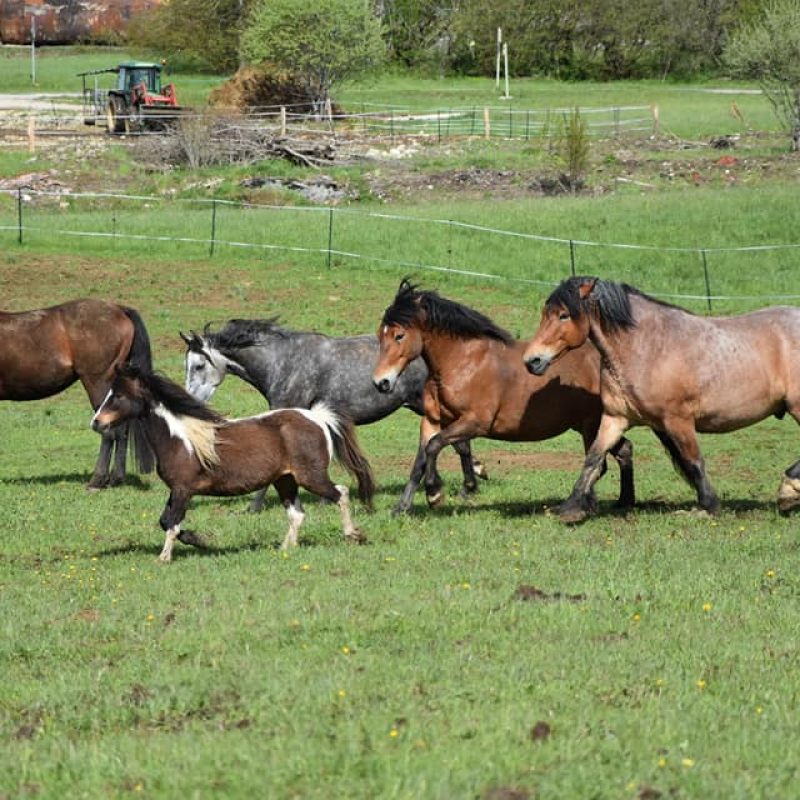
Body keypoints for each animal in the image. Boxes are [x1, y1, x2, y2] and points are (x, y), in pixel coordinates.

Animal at [0, 298, 155, 488]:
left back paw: (97, 480)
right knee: (120, 430)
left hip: (99, 386)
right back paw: (115, 479)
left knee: (108, 432)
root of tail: (119, 309)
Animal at [89, 364, 376, 560]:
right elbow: (166, 521)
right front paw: (200, 540)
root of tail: (318, 418)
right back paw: (284, 548)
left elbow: (171, 524)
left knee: (341, 493)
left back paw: (353, 534)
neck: (180, 438)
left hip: (311, 477)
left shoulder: (183, 490)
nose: (96, 423)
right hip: (285, 480)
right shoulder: (177, 489)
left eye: (118, 395)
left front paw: (164, 557)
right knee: (297, 514)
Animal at [181, 318, 482, 512]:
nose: (191, 400)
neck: (284, 362)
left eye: (198, 366)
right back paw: (469, 483)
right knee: (459, 443)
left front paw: (254, 507)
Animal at [372, 278, 636, 512]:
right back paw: (623, 502)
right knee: (623, 451)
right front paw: (402, 507)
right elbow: (421, 459)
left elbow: (434, 446)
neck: (462, 362)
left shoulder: (475, 422)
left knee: (599, 463)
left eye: (399, 335)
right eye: (380, 335)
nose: (381, 382)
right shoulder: (432, 420)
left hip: (591, 426)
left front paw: (435, 493)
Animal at [520, 278, 800, 520]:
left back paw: (787, 490)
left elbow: (694, 462)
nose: (532, 360)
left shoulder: (678, 420)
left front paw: (709, 506)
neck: (647, 348)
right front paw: (571, 507)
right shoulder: (615, 418)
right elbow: (594, 457)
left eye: (563, 315)